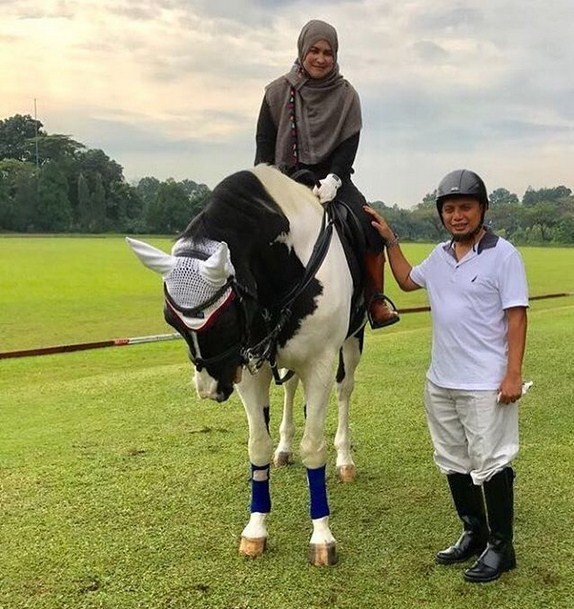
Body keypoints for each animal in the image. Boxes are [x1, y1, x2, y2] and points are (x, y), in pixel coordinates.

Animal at [129, 163, 366, 564]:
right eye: (171, 320)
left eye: (223, 320)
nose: (208, 389)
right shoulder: (249, 368)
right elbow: (257, 446)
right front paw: (256, 528)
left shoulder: (318, 363)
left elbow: (314, 446)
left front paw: (321, 535)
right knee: (290, 387)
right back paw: (284, 448)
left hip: (351, 342)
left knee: (344, 391)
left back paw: (344, 459)